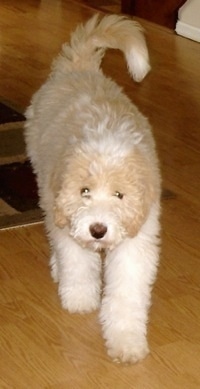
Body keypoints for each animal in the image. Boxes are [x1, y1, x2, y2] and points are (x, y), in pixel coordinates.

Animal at [24, 13, 161, 362]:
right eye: (84, 191)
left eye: (119, 195)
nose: (98, 230)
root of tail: (79, 67)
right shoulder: (67, 219)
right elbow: (77, 264)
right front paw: (79, 299)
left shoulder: (138, 237)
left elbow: (126, 291)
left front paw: (126, 342)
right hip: (44, 184)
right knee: (53, 233)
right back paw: (58, 268)